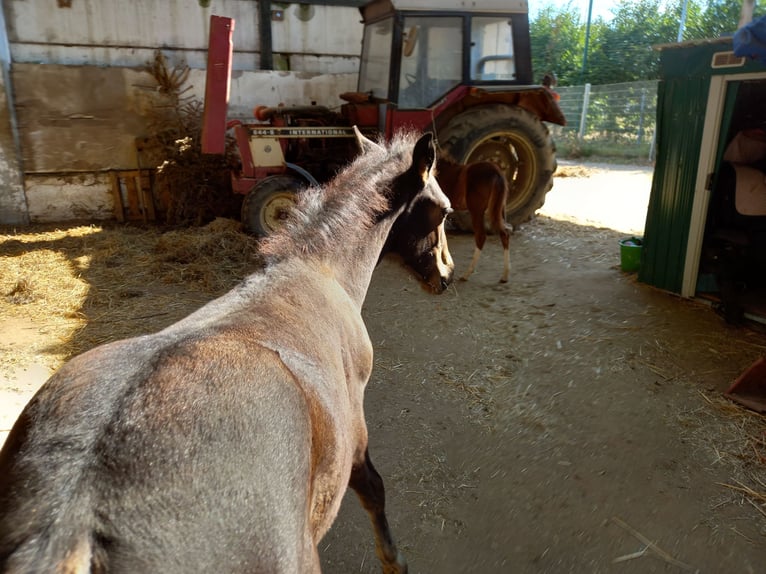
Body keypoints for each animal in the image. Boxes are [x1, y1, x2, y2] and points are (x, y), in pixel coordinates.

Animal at [0, 129, 456, 574]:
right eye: (445, 210)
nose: (447, 275)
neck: (318, 271)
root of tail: (71, 525)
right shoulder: (356, 429)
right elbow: (374, 489)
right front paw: (394, 561)